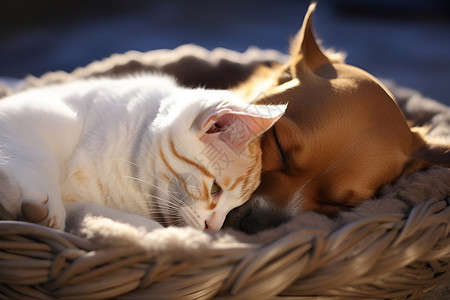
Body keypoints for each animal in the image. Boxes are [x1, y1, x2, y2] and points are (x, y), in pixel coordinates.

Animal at [0, 74, 284, 231]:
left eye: (236, 205)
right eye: (215, 189)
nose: (213, 229)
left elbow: (87, 211)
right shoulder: (34, 111)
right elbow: (33, 160)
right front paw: (43, 205)